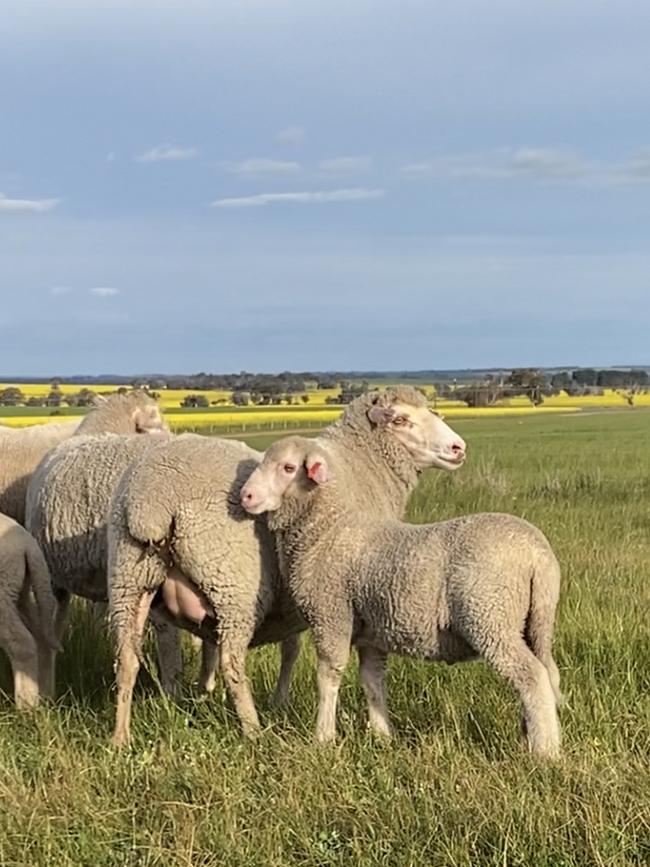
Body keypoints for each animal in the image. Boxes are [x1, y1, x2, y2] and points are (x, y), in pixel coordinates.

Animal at [0, 512, 59, 708]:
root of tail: (29, 546)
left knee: (22, 643)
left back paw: (26, 705)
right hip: (20, 592)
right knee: (41, 640)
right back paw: (44, 696)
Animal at [105, 386, 466, 744]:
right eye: (401, 419)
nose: (458, 448)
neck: (360, 465)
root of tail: (154, 499)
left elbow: (291, 649)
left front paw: (281, 702)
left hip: (129, 577)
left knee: (126, 661)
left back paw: (121, 737)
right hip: (233, 586)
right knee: (231, 662)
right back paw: (253, 730)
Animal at [240, 438, 564, 756]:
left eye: (288, 467)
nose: (246, 496)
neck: (325, 527)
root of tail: (538, 555)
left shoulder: (331, 614)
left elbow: (328, 676)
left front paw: (323, 737)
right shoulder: (370, 629)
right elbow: (372, 680)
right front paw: (383, 736)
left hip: (490, 616)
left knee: (532, 676)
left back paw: (545, 751)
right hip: (533, 621)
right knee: (548, 673)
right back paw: (532, 737)